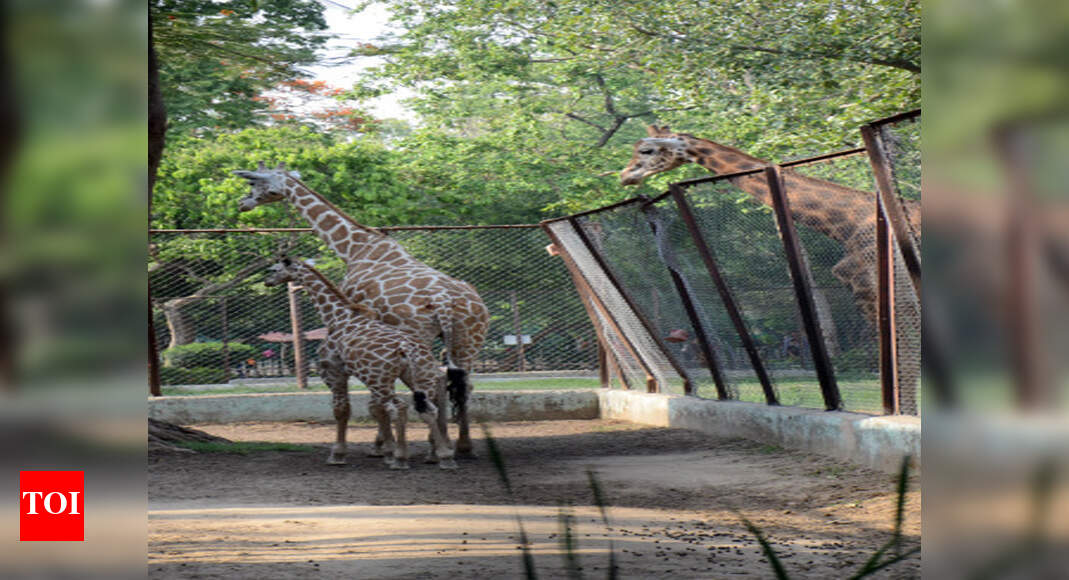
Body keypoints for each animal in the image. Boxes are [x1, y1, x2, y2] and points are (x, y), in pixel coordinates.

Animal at [265, 257, 458, 470]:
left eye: (274, 269)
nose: (267, 282)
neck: (337, 317)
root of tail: (407, 349)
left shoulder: (333, 371)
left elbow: (342, 410)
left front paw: (338, 455)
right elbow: (372, 409)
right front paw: (385, 452)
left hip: (378, 379)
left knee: (398, 407)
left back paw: (401, 458)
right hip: (415, 375)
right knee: (428, 407)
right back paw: (444, 457)